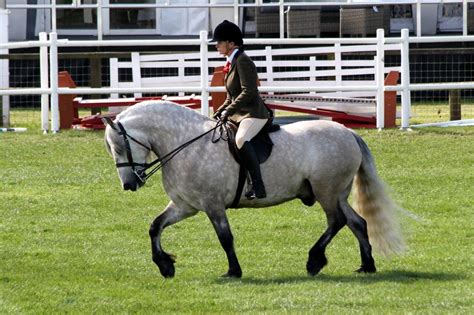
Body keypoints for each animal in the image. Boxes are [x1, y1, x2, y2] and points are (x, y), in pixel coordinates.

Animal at [103, 100, 404, 278]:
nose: (129, 185)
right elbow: (155, 226)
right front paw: (165, 265)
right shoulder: (185, 206)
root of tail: (348, 132)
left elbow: (225, 238)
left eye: (119, 147)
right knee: (357, 222)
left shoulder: (212, 205)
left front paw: (233, 271)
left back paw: (314, 261)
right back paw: (367, 266)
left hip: (326, 192)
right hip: (337, 193)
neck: (185, 143)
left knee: (337, 221)